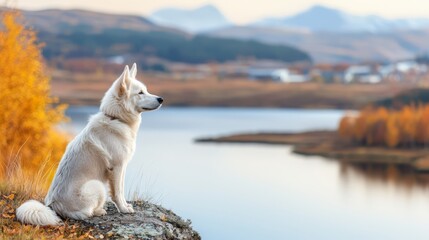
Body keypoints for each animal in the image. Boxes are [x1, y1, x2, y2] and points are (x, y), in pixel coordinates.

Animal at [15, 63, 161, 225]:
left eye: (146, 90)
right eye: (140, 93)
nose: (161, 99)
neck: (115, 118)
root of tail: (52, 206)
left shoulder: (121, 167)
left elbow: (121, 190)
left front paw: (125, 206)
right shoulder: (117, 167)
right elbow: (118, 192)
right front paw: (123, 209)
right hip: (97, 186)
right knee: (86, 213)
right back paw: (99, 211)